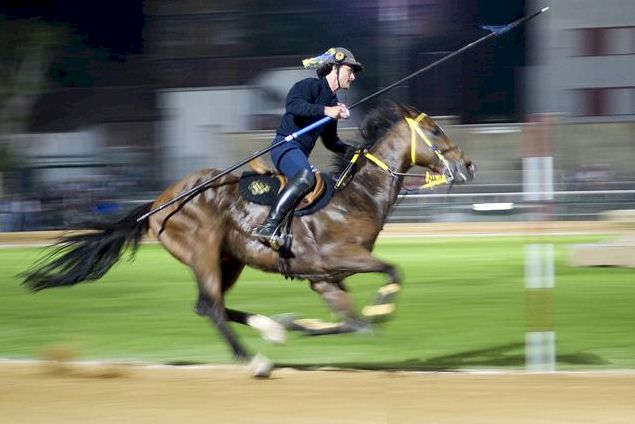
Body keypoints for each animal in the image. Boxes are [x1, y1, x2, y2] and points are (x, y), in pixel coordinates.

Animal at [22, 102, 474, 378]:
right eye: (435, 130)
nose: (468, 165)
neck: (357, 196)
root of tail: (159, 201)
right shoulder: (341, 257)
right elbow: (391, 273)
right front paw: (379, 309)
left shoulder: (324, 279)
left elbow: (351, 322)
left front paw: (301, 325)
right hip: (203, 250)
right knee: (210, 306)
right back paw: (252, 359)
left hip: (230, 260)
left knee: (211, 304)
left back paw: (271, 329)